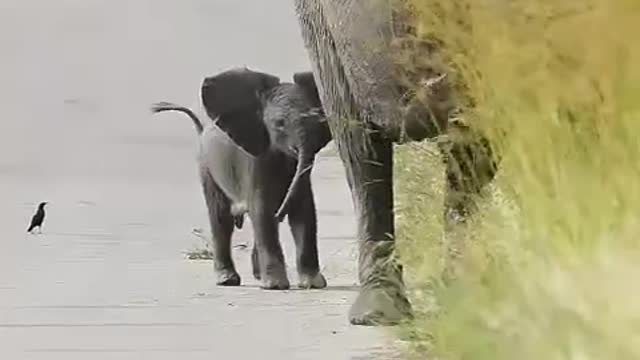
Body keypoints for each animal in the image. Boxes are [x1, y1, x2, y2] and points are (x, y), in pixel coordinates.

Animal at [150, 67, 330, 290]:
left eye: (319, 121)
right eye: (279, 124)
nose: (280, 213)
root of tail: (202, 129)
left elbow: (304, 212)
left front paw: (313, 284)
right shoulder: (254, 161)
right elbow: (261, 211)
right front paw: (275, 286)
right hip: (207, 168)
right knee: (221, 218)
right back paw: (227, 279)